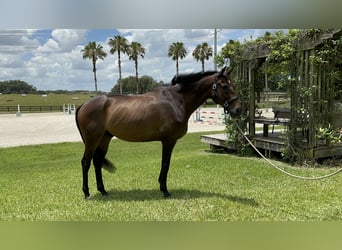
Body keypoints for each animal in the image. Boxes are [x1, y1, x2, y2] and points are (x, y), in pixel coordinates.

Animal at [75, 67, 240, 199]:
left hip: (104, 138)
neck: (176, 101)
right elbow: (165, 163)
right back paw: (87, 193)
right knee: (85, 162)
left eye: (233, 84)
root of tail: (83, 105)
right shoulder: (168, 140)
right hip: (92, 140)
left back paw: (103, 191)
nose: (238, 109)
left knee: (97, 162)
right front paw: (165, 190)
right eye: (224, 86)